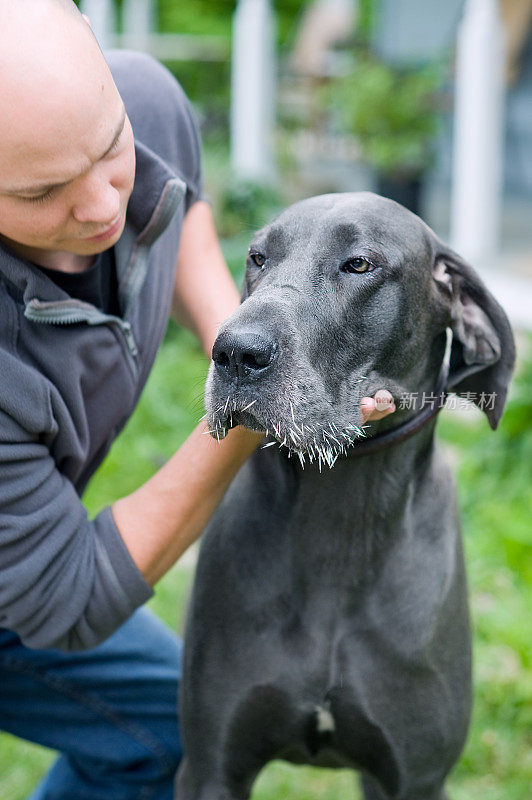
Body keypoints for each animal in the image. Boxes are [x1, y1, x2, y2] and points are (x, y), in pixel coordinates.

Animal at [176, 194, 516, 800]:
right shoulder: (211, 768)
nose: (234, 352)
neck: (339, 517)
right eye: (258, 258)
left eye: (359, 264)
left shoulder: (416, 777)